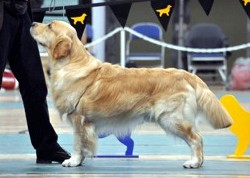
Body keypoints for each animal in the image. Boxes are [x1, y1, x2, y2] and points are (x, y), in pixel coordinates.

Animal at [30, 20, 233, 168]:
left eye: (49, 26)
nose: (32, 23)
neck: (72, 64)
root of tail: (185, 73)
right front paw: (79, 161)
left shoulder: (79, 118)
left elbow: (78, 144)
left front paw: (73, 161)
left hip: (172, 118)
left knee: (196, 139)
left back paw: (194, 163)